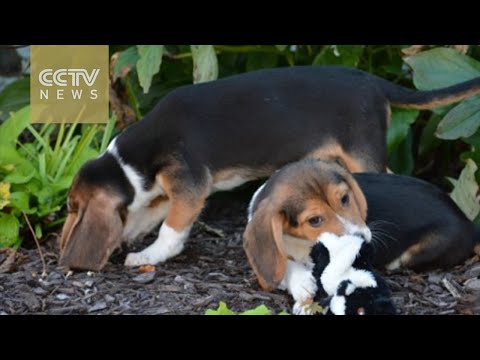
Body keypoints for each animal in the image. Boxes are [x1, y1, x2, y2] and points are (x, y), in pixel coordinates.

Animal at [59, 66, 480, 272]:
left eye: (72, 207)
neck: (132, 161)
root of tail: (375, 82)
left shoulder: (190, 187)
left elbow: (171, 228)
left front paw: (150, 255)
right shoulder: (171, 188)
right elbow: (151, 212)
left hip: (362, 154)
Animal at [246, 159, 478, 314]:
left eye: (345, 199)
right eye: (315, 220)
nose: (364, 241)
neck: (300, 242)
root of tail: (468, 222)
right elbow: (284, 265)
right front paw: (301, 283)